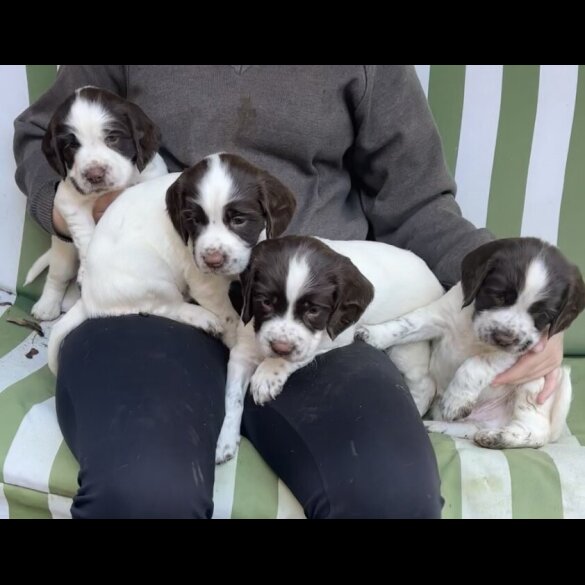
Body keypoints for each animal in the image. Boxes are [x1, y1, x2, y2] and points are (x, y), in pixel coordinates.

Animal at [24, 86, 168, 320]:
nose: (94, 175)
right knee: (56, 277)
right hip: (63, 253)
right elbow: (87, 236)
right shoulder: (68, 200)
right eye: (71, 145)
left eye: (112, 138)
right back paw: (47, 306)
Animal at [47, 153, 294, 374]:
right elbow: (230, 318)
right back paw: (202, 318)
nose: (212, 261)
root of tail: (88, 297)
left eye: (239, 220)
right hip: (152, 274)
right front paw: (236, 341)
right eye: (193, 220)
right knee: (167, 306)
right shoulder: (205, 285)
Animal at [214, 235, 442, 464]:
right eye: (266, 302)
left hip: (405, 350)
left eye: (314, 310)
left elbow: (296, 354)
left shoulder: (337, 336)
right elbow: (232, 398)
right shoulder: (242, 352)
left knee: (426, 383)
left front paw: (268, 375)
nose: (280, 347)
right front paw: (226, 439)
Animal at [356, 236, 584, 448]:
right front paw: (372, 334)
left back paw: (498, 437)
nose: (504, 338)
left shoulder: (523, 351)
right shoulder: (438, 317)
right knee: (470, 427)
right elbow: (405, 323)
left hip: (533, 385)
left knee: (536, 432)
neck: (472, 329)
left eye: (542, 314)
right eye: (498, 296)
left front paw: (456, 399)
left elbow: (476, 363)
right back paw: (433, 426)